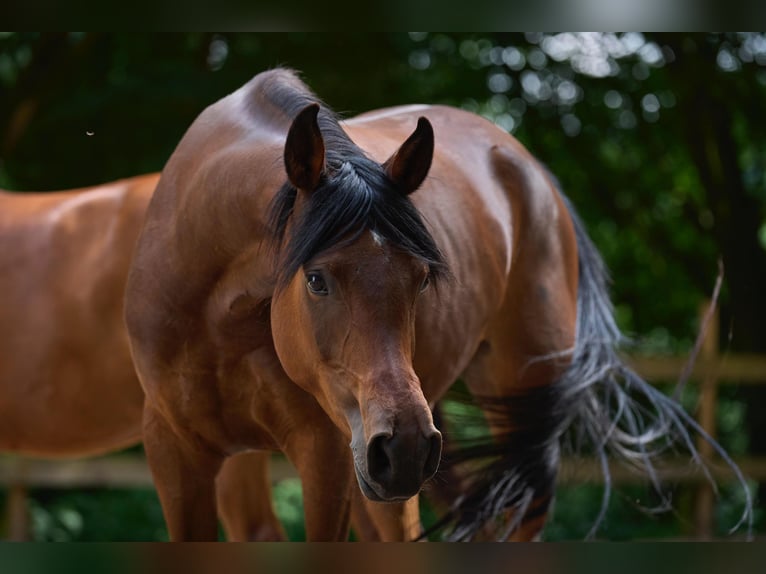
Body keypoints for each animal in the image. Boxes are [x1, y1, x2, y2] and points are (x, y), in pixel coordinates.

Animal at [123, 70, 752, 544]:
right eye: (317, 280)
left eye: (423, 278)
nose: (404, 447)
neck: (217, 314)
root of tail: (534, 173)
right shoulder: (176, 453)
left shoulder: (326, 454)